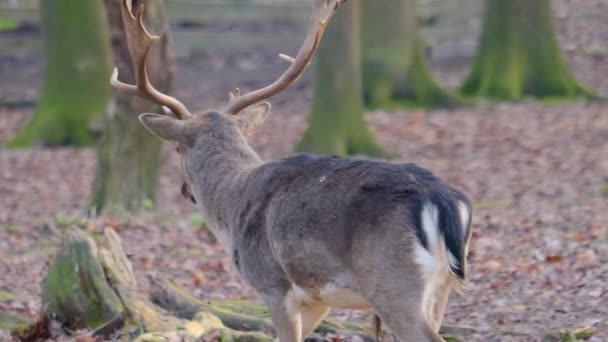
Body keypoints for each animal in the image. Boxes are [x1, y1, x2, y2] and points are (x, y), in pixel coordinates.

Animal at [114, 1, 476, 340]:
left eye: (177, 148)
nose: (185, 191)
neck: (233, 208)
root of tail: (443, 201)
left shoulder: (273, 285)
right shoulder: (317, 299)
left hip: (392, 280)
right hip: (442, 285)